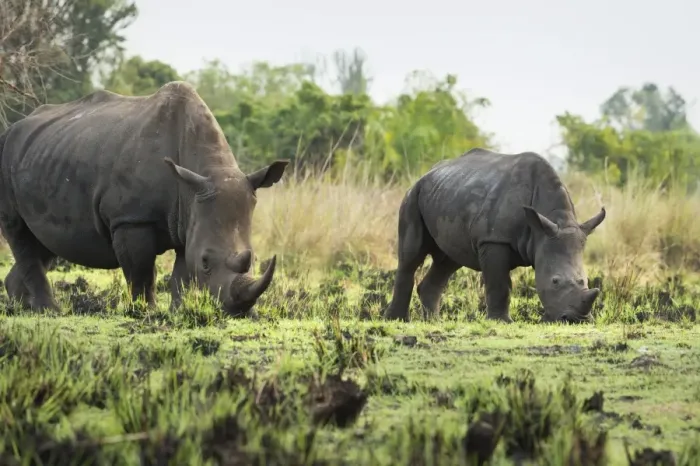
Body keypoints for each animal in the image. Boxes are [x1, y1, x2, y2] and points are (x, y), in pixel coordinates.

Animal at [0, 81, 288, 316]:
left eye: (254, 259)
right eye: (206, 262)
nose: (236, 312)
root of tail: (12, 128)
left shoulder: (189, 216)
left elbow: (182, 275)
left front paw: (177, 312)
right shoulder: (131, 218)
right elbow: (141, 271)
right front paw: (146, 312)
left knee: (45, 243)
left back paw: (22, 307)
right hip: (7, 157)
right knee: (19, 233)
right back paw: (49, 311)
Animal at [384, 148, 606, 323]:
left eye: (584, 281)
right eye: (555, 281)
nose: (577, 320)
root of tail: (427, 173)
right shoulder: (495, 239)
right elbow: (499, 284)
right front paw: (502, 321)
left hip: (447, 195)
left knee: (449, 261)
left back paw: (434, 322)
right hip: (413, 196)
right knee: (411, 257)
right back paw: (397, 320)